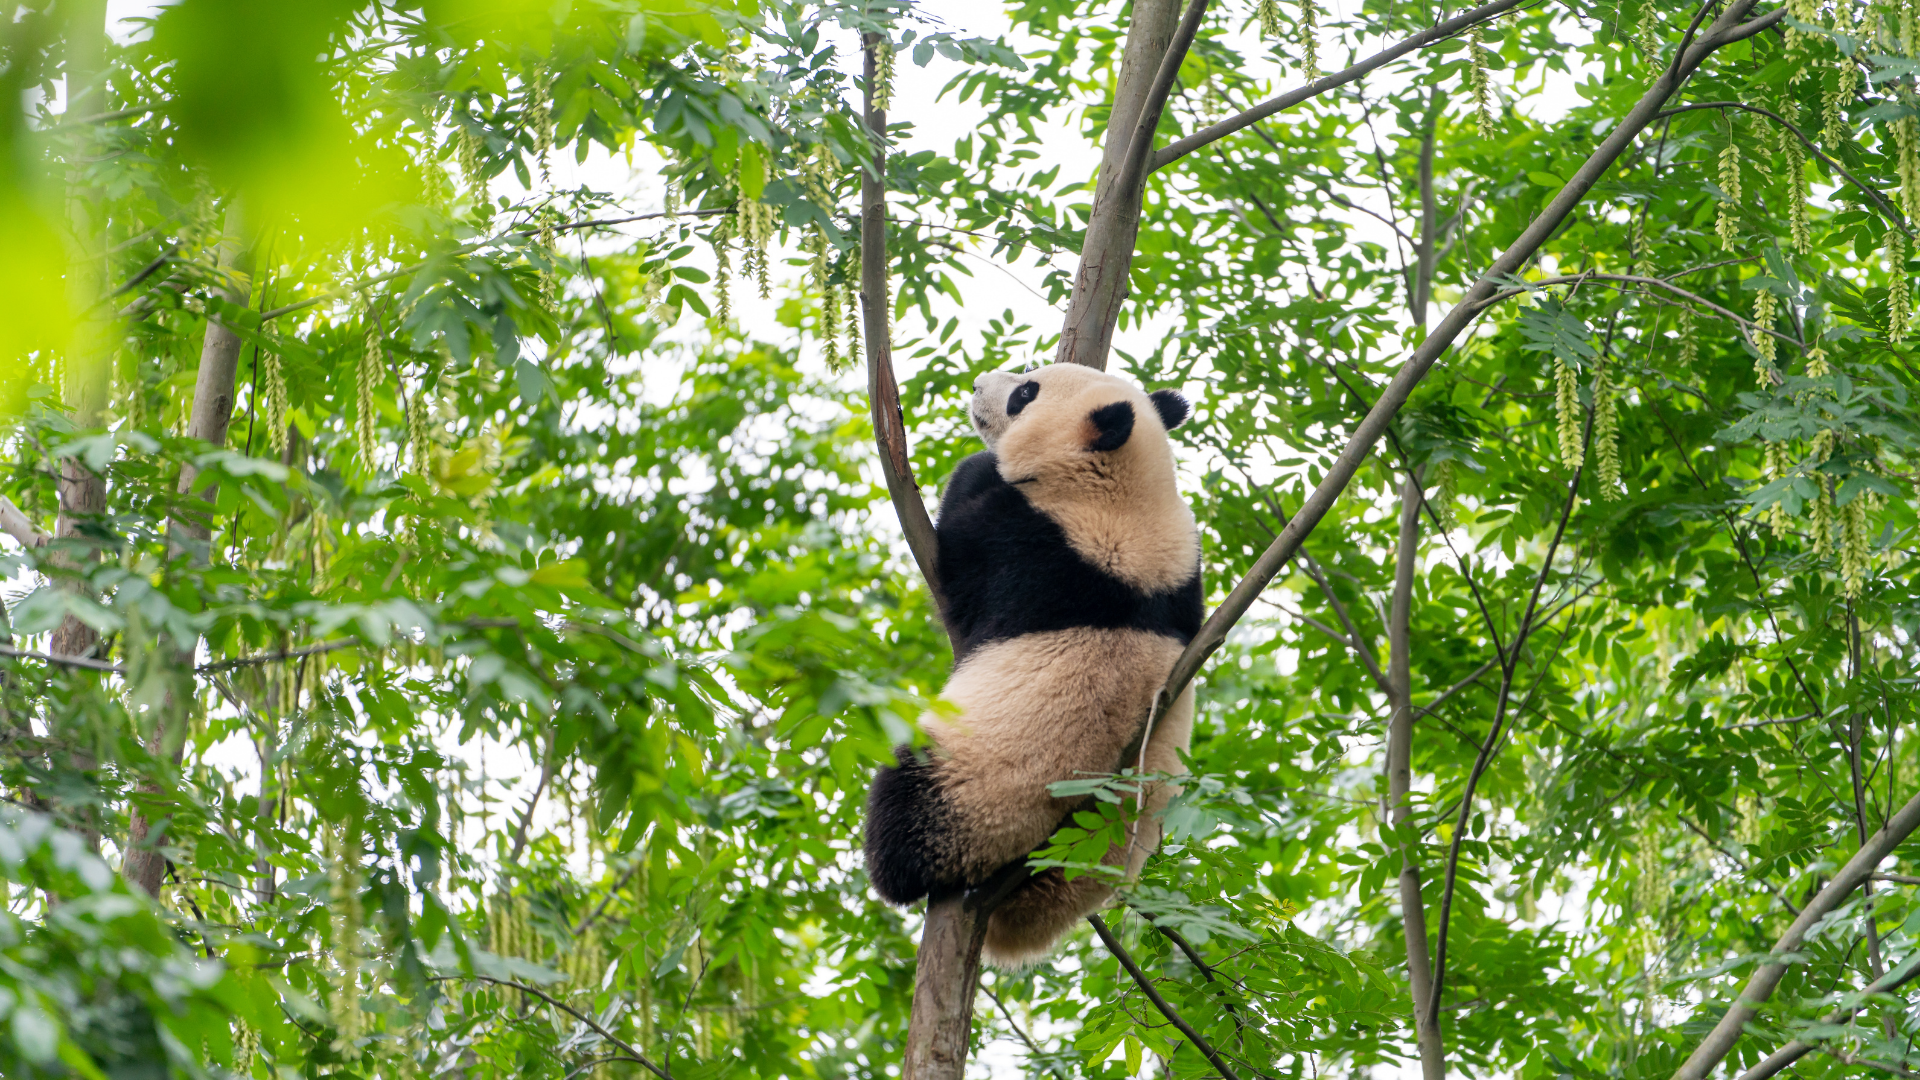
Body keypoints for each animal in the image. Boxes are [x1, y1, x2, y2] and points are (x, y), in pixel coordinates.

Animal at [864, 362, 1202, 967]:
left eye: (1025, 392)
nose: (978, 386)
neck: (1129, 492)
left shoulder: (1042, 545)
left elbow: (963, 549)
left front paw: (978, 466)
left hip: (974, 797)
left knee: (906, 809)